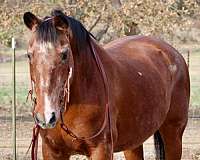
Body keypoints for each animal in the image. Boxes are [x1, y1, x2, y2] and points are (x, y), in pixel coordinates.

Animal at [23, 10, 189, 160]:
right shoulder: (52, 151)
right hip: (133, 142)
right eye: (29, 55)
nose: (46, 116)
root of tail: (173, 53)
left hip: (173, 134)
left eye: (64, 54)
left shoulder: (101, 149)